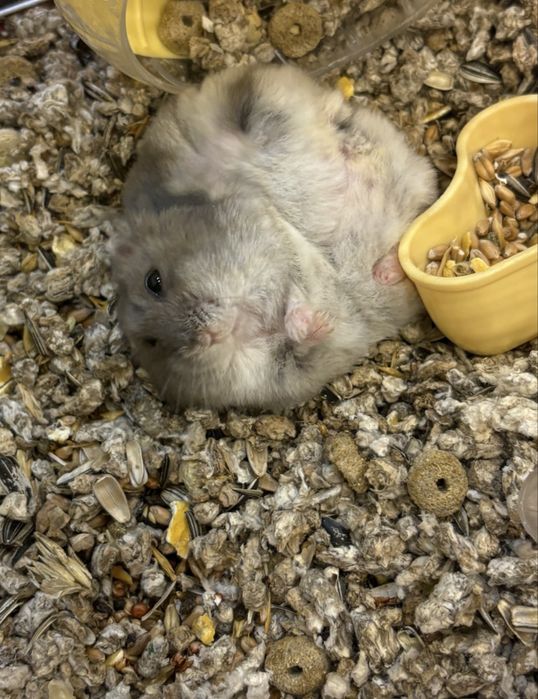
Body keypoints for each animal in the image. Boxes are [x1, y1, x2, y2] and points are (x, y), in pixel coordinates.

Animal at [112, 63, 437, 412]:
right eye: (153, 343)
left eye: (154, 281)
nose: (207, 336)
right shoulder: (283, 371)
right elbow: (300, 344)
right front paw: (317, 322)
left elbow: (292, 288)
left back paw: (350, 147)